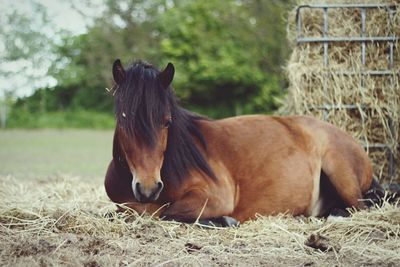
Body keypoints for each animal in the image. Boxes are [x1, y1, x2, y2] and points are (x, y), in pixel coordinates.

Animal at [104, 59, 374, 226]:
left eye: (167, 122)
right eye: (123, 119)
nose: (148, 189)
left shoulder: (214, 197)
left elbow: (167, 213)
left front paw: (225, 221)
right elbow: (119, 213)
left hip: (340, 172)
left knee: (358, 209)